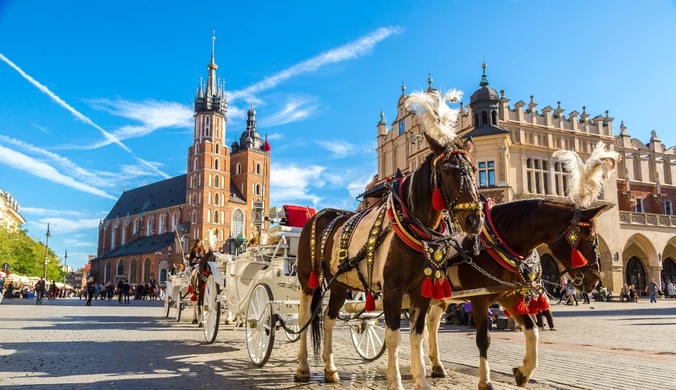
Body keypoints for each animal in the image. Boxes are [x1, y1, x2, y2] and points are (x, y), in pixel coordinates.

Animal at [296, 135, 486, 390]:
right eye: (446, 170)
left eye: (475, 169)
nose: (474, 220)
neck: (411, 226)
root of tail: (317, 215)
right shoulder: (392, 290)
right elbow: (393, 336)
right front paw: (395, 381)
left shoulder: (421, 291)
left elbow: (417, 334)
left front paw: (421, 381)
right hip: (308, 280)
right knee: (304, 317)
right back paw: (303, 368)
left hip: (339, 284)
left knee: (328, 318)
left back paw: (330, 369)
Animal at [428, 200, 608, 388]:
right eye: (590, 239)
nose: (596, 280)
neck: (494, 246)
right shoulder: (479, 300)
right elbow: (483, 339)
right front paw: (485, 381)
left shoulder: (508, 296)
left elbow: (532, 329)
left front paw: (524, 372)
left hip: (440, 298)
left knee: (432, 324)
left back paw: (437, 366)